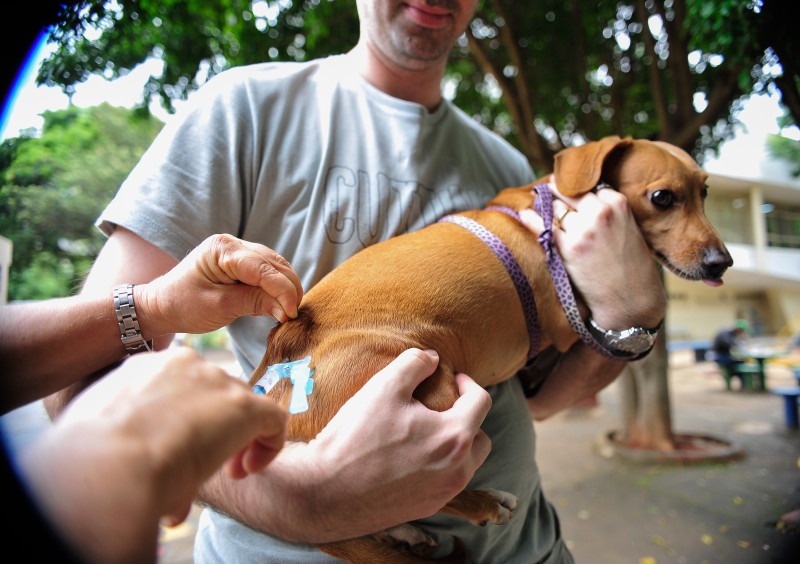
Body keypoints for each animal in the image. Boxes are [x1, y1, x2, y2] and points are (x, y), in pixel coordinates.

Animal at [248, 134, 732, 560]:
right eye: (663, 197)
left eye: (705, 192)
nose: (722, 262)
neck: (549, 211)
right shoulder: (568, 324)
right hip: (435, 391)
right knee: (418, 492)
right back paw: (481, 504)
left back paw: (403, 532)